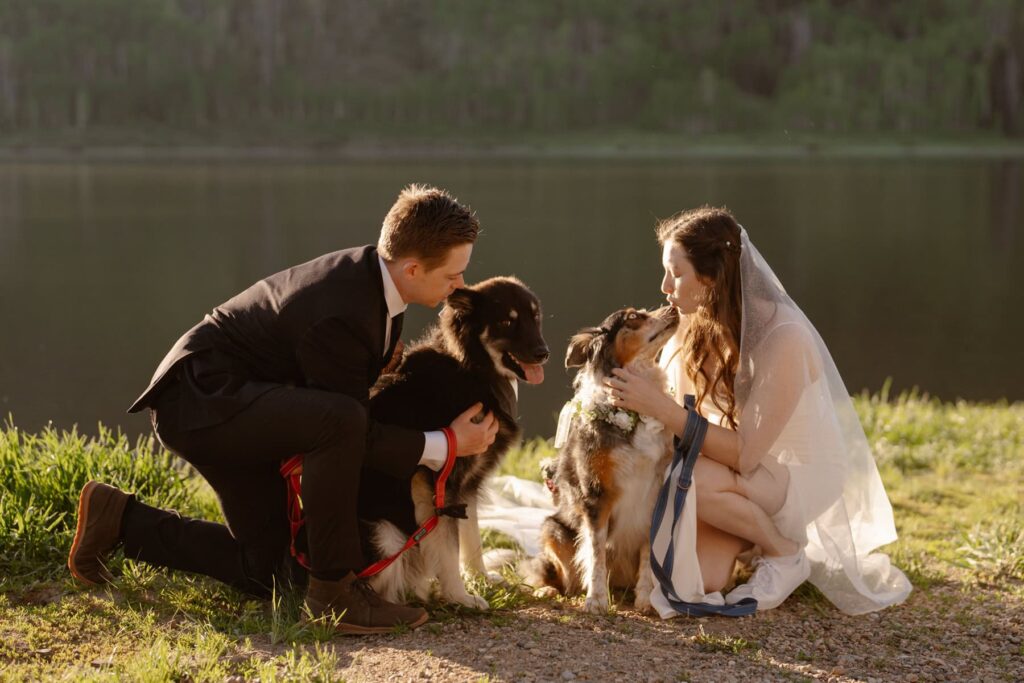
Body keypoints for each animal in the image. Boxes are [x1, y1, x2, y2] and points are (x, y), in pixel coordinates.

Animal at [364, 278, 548, 610]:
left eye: (535, 317)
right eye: (506, 321)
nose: (544, 353)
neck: (473, 371)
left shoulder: (469, 485)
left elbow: (471, 538)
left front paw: (482, 579)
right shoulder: (439, 485)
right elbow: (448, 549)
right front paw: (459, 596)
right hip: (385, 534)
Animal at [524, 305, 675, 614]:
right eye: (633, 317)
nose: (674, 308)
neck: (634, 413)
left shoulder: (653, 494)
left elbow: (647, 557)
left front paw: (646, 598)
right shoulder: (596, 496)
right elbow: (595, 554)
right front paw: (596, 599)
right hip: (552, 529)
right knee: (559, 578)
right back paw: (549, 590)